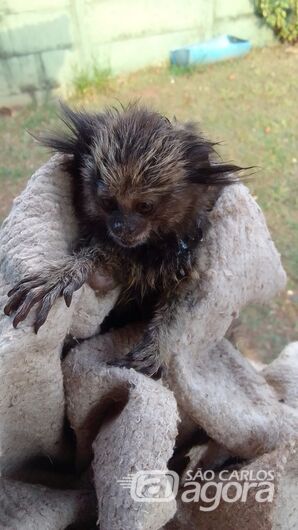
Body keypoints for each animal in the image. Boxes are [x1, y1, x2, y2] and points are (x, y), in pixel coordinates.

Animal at [3, 103, 243, 376]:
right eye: (108, 203)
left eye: (145, 206)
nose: (122, 228)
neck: (149, 248)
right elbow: (97, 255)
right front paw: (66, 272)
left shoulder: (191, 249)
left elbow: (185, 296)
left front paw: (158, 346)